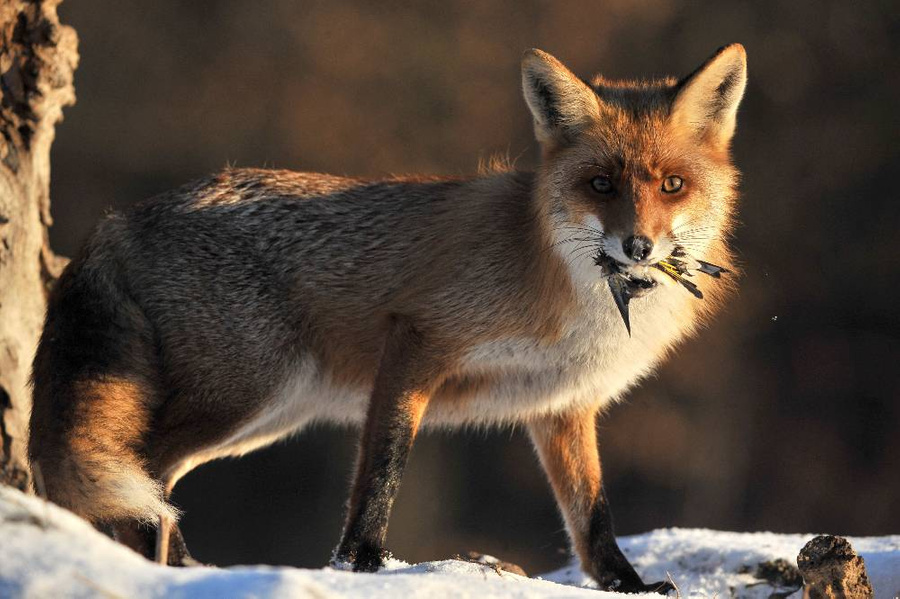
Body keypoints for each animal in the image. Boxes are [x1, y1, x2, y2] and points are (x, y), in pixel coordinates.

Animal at [26, 44, 744, 592]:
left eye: (672, 185)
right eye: (600, 184)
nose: (638, 247)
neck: (558, 282)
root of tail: (119, 219)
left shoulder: (562, 406)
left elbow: (592, 514)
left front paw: (626, 583)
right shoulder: (418, 339)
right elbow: (383, 466)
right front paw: (363, 562)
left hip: (265, 413)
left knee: (156, 483)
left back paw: (176, 570)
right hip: (249, 393)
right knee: (135, 472)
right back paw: (150, 570)